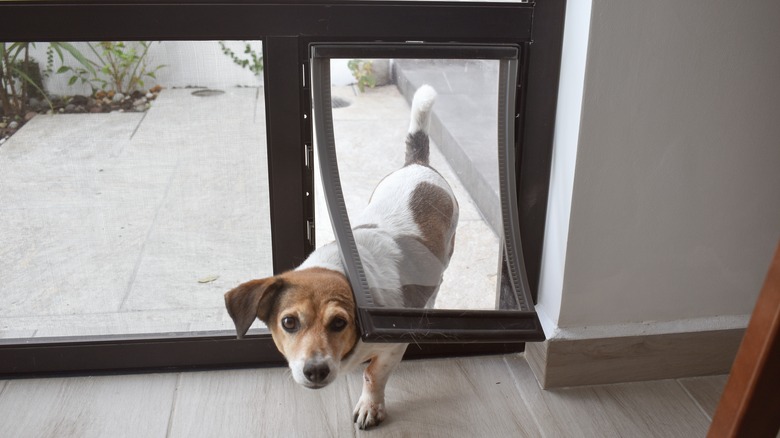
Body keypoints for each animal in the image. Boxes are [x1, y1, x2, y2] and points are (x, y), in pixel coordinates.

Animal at [225, 84, 458, 428]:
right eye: (289, 322)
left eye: (339, 323)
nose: (315, 370)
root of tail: (418, 165)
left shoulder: (392, 347)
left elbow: (373, 375)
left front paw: (370, 406)